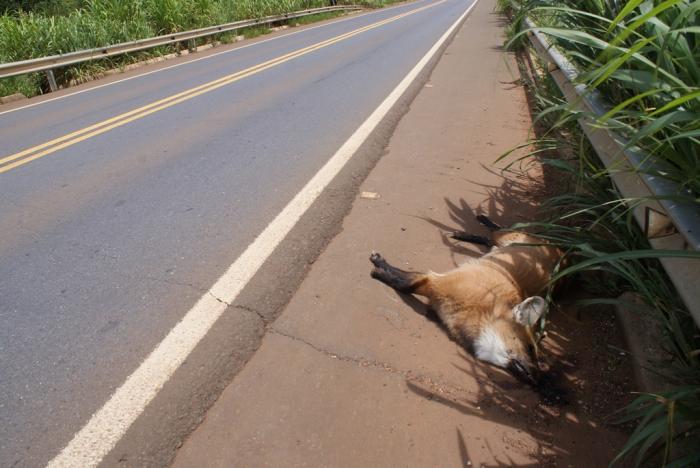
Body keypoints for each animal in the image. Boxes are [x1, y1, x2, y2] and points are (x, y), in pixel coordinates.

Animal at [372, 216, 564, 384]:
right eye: (530, 349)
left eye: (539, 358)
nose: (539, 380)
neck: (481, 308)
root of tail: (560, 251)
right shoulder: (436, 282)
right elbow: (405, 284)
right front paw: (379, 267)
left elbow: (406, 282)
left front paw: (380, 267)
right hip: (505, 236)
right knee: (497, 229)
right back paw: (478, 221)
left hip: (501, 243)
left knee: (489, 239)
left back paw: (464, 232)